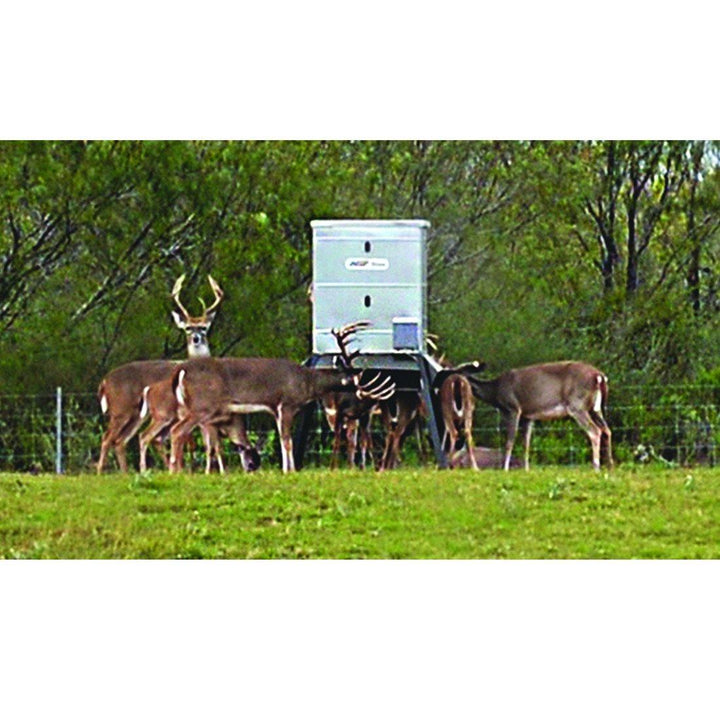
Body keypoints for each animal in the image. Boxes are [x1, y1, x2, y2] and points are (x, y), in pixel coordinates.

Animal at [96, 274, 224, 473]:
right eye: (188, 328)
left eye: (204, 327)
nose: (196, 339)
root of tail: (104, 381)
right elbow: (191, 442)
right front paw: (186, 471)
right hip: (121, 409)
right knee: (108, 438)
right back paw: (102, 472)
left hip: (137, 415)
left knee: (121, 441)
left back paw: (126, 473)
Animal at [169, 321, 396, 473]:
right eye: (352, 380)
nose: (363, 404)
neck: (306, 382)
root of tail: (181, 373)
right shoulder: (286, 405)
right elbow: (287, 441)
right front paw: (290, 470)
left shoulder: (277, 410)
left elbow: (282, 439)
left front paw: (288, 469)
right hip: (201, 406)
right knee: (177, 431)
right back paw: (175, 471)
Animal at [462, 361, 614, 471]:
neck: (495, 391)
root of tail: (599, 376)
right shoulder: (528, 417)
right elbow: (526, 443)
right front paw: (526, 469)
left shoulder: (513, 408)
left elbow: (509, 441)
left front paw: (505, 469)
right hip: (595, 408)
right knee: (607, 430)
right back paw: (610, 466)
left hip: (577, 405)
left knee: (595, 431)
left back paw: (596, 467)